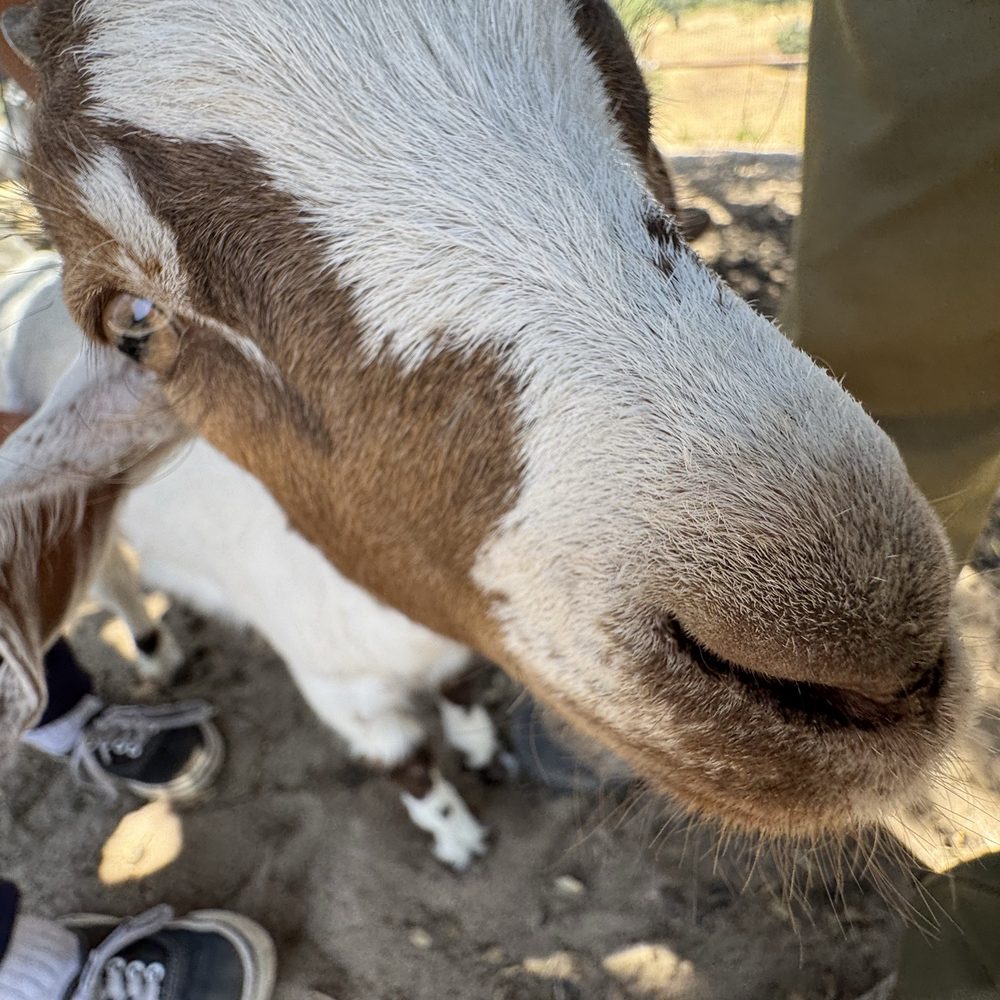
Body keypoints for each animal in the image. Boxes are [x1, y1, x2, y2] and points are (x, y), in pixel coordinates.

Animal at [0, 0, 971, 861]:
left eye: (639, 97)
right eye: (135, 321)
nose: (856, 639)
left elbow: (464, 692)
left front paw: (481, 746)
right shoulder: (344, 689)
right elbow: (408, 765)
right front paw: (457, 835)